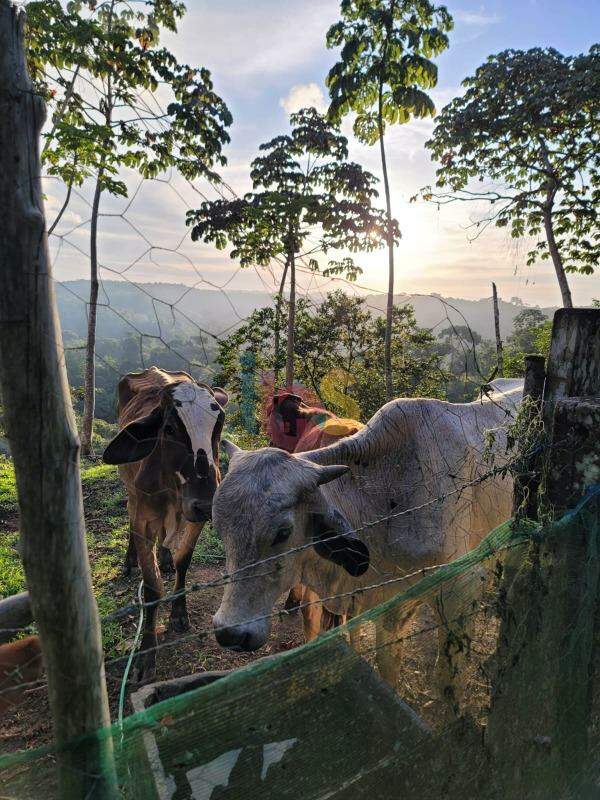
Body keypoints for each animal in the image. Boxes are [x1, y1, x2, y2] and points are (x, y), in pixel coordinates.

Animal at [103, 368, 227, 680]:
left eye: (219, 425)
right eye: (169, 428)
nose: (205, 503)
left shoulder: (195, 516)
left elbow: (185, 560)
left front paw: (179, 613)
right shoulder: (145, 519)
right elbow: (151, 586)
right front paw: (147, 652)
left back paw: (165, 556)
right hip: (131, 493)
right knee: (130, 515)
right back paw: (129, 560)